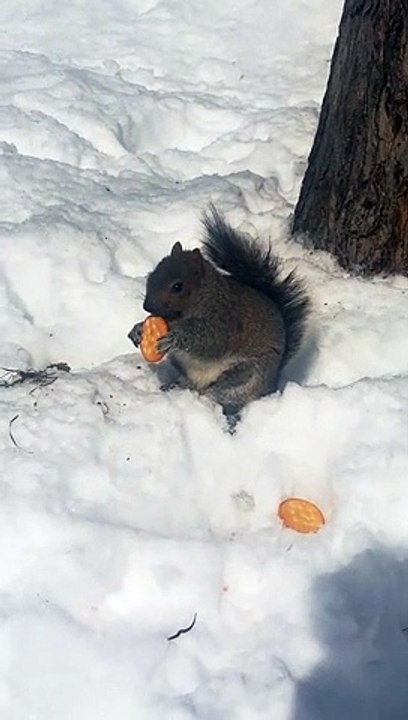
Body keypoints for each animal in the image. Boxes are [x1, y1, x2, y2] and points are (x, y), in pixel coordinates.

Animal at [128, 206, 310, 428]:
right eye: (151, 275)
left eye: (178, 286)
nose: (147, 306)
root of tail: (271, 384)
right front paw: (137, 330)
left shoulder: (227, 320)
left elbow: (210, 341)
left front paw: (175, 337)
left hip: (246, 375)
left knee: (225, 396)